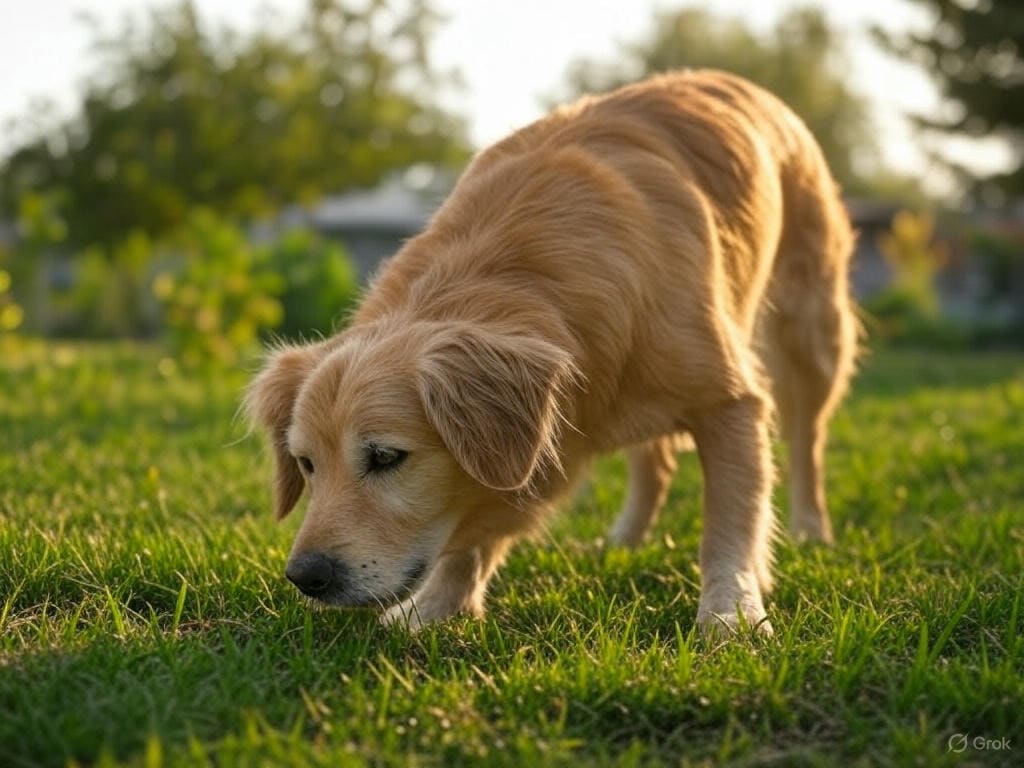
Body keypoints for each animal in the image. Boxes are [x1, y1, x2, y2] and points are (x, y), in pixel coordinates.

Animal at [245, 70, 856, 638]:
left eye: (386, 457)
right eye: (306, 464)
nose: (306, 576)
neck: (512, 276)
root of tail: (734, 80)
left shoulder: (729, 402)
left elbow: (729, 524)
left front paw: (732, 616)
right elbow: (470, 530)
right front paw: (438, 608)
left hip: (810, 335)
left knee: (807, 442)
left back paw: (811, 531)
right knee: (655, 461)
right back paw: (622, 543)